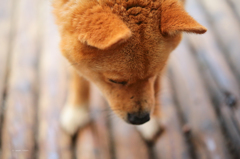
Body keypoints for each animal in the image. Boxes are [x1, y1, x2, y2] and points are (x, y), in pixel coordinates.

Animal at [52, 0, 206, 140]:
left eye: (156, 73)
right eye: (115, 81)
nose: (141, 119)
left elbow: (156, 86)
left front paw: (154, 118)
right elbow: (78, 74)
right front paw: (77, 109)